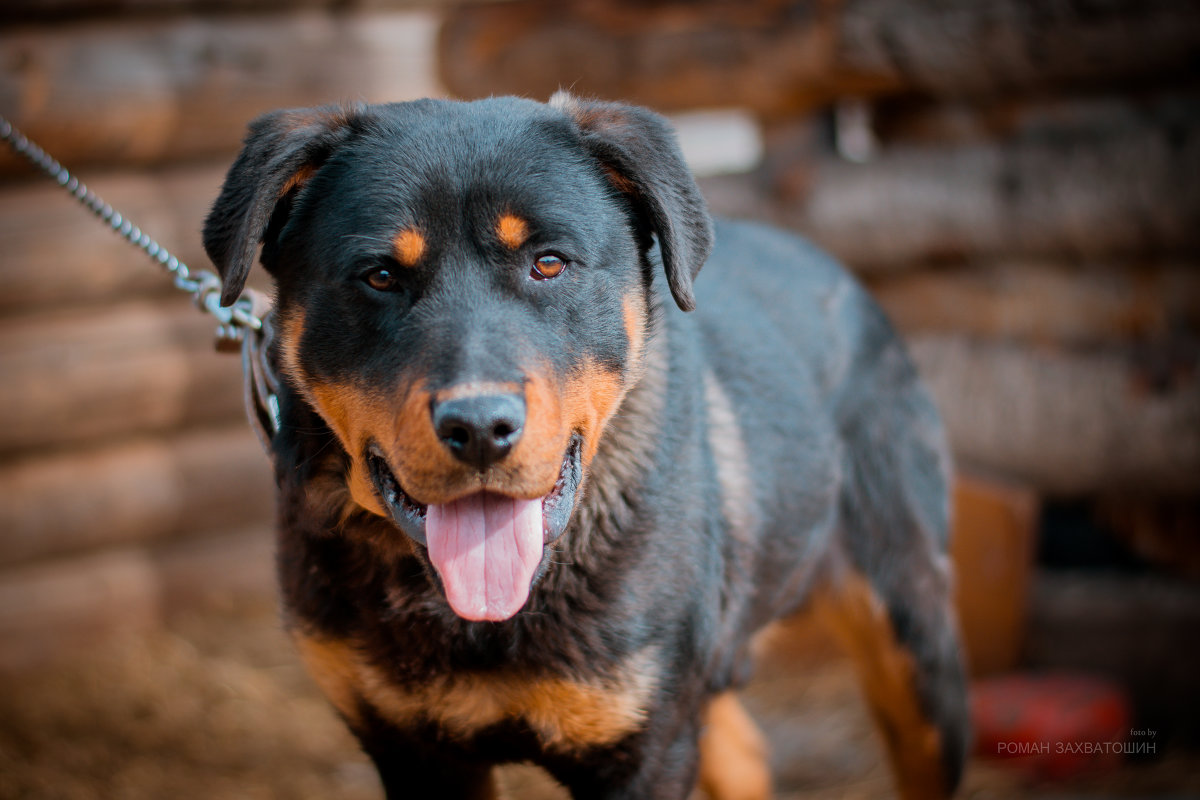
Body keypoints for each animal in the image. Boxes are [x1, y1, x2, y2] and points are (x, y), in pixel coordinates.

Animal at [206, 95, 969, 800]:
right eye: (380, 276)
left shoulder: (645, 747)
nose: (479, 426)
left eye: (548, 264)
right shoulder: (411, 748)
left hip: (914, 645)